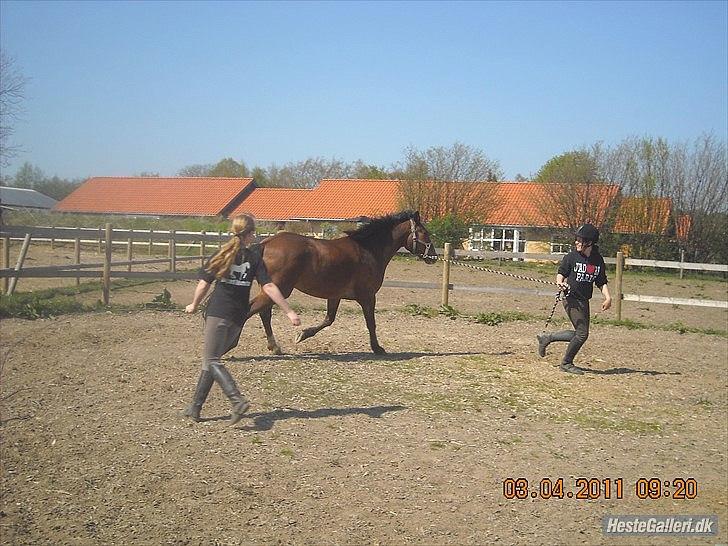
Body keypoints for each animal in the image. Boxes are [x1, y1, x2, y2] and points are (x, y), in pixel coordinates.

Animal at [247, 208, 436, 352]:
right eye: (424, 233)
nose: (433, 256)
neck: (368, 250)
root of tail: (265, 243)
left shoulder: (335, 295)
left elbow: (329, 319)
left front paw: (302, 334)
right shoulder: (368, 296)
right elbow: (371, 323)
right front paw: (377, 348)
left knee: (264, 313)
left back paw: (274, 347)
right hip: (281, 288)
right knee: (252, 309)